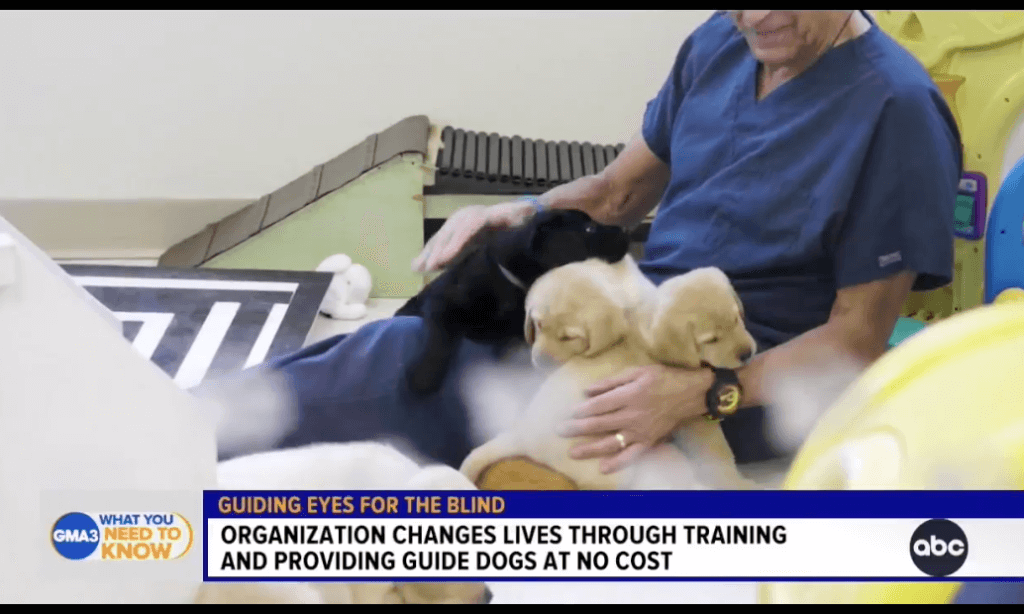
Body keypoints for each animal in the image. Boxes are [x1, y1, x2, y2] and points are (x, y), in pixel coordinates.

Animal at [393, 208, 626, 395]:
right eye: (589, 229)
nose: (624, 230)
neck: (512, 282)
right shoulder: (442, 301)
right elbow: (439, 337)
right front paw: (423, 377)